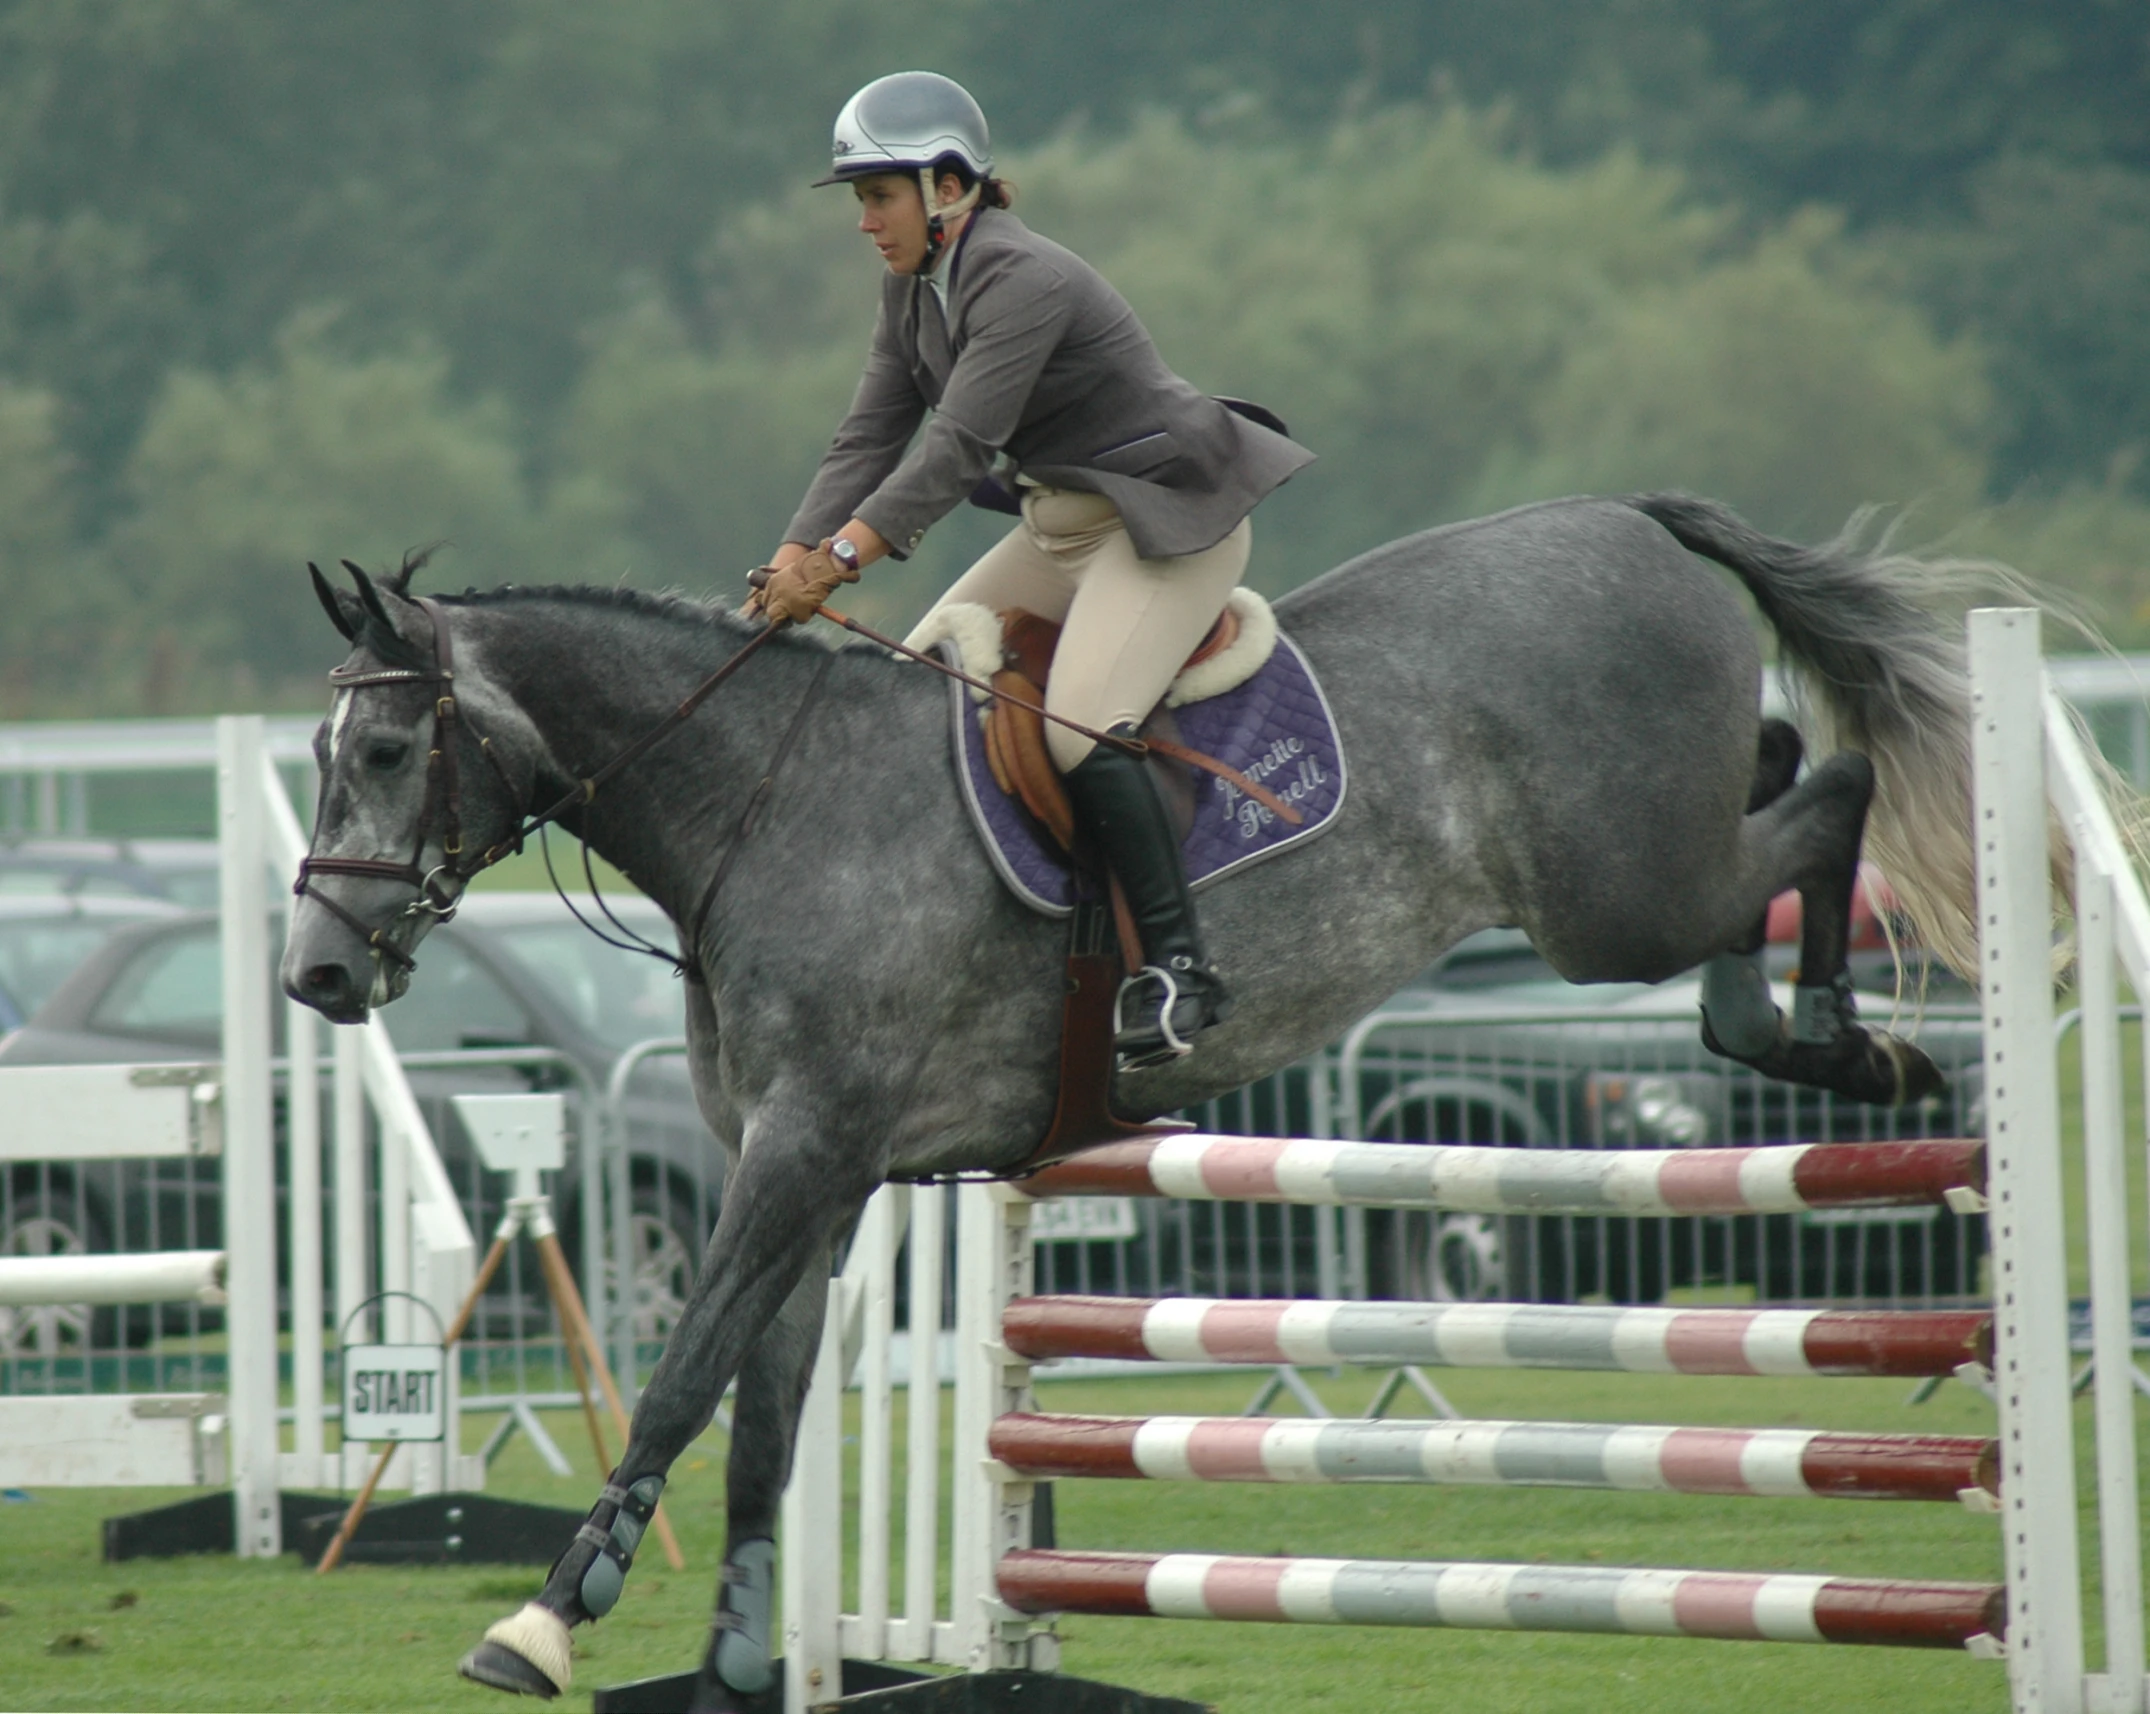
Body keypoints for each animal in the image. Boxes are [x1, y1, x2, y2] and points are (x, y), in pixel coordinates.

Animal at [285, 492, 1978, 1694]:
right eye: (318, 746)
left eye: (388, 747)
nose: (314, 976)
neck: (760, 809)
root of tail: (1628, 516)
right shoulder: (813, 1180)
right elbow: (759, 1421)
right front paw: (735, 1659)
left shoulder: (804, 1153)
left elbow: (683, 1377)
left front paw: (541, 1621)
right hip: (1639, 870)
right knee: (1780, 762)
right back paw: (1809, 1032)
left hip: (1612, 898)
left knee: (1826, 789)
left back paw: (1847, 1033)